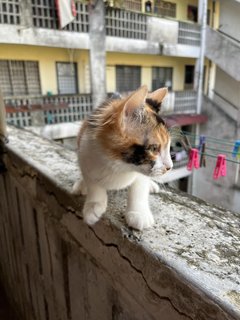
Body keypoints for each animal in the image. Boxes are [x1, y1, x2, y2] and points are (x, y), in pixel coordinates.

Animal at [73, 85, 172, 230]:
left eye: (168, 146)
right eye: (154, 148)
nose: (170, 167)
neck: (119, 164)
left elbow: (139, 187)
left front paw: (138, 213)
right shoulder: (85, 153)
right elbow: (92, 182)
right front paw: (93, 205)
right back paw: (81, 185)